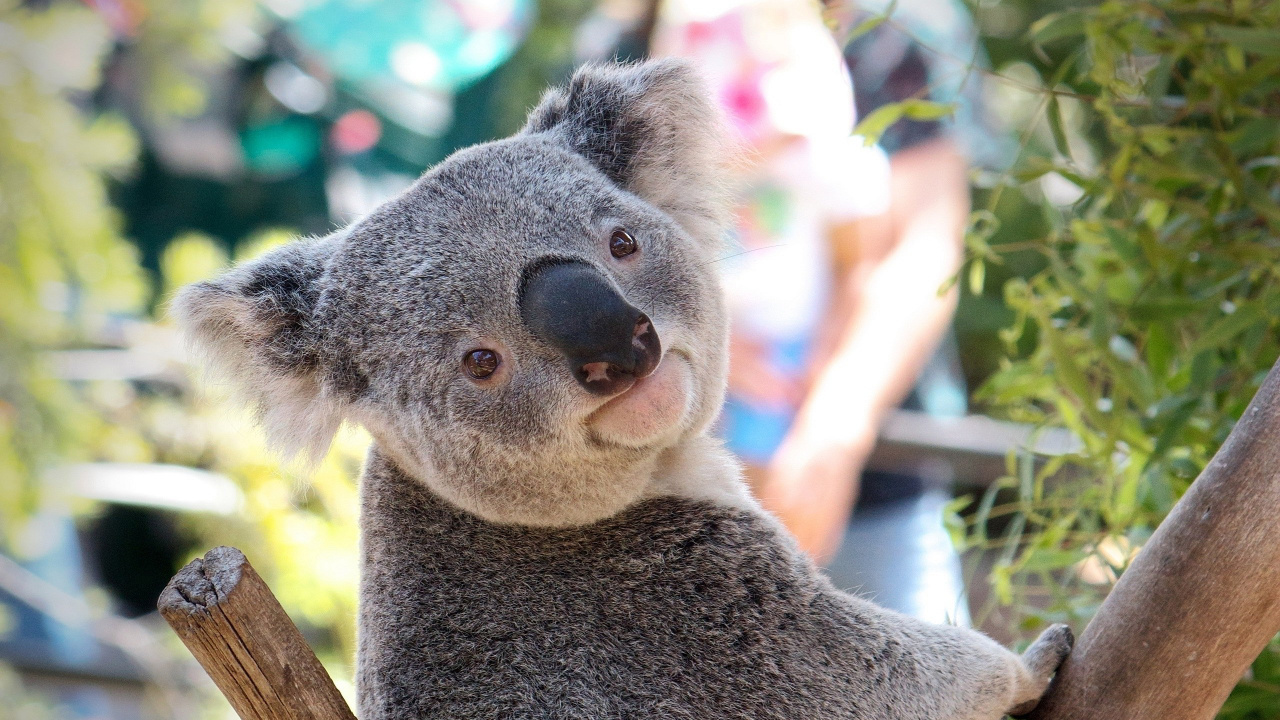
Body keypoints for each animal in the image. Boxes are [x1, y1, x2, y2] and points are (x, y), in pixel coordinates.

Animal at [173, 59, 1071, 719]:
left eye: (622, 243)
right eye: (479, 361)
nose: (619, 346)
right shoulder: (695, 614)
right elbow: (879, 677)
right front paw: (1034, 662)